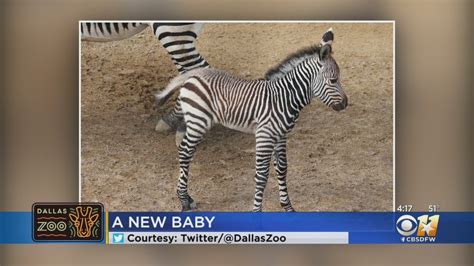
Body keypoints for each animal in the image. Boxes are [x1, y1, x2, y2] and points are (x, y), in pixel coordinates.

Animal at [156, 28, 348, 212]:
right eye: (333, 80)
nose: (346, 104)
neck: (284, 98)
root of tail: (194, 73)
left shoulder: (281, 136)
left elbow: (282, 169)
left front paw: (287, 206)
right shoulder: (264, 136)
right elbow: (262, 175)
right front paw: (257, 210)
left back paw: (186, 197)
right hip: (198, 121)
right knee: (185, 152)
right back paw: (184, 200)